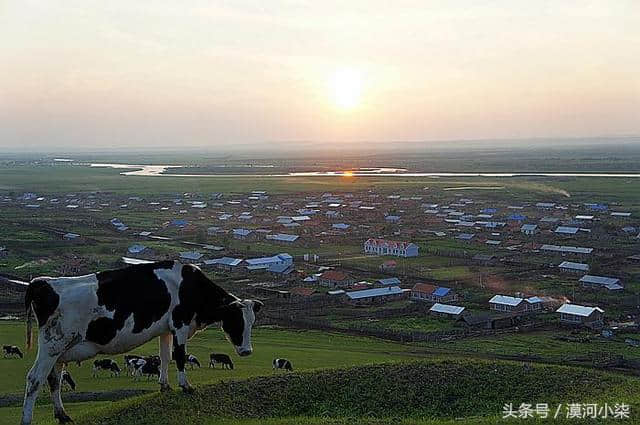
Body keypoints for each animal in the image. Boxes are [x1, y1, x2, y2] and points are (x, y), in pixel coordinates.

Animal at [21, 260, 262, 424]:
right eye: (236, 321)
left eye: (252, 322)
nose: (247, 351)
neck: (190, 286)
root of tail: (41, 282)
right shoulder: (181, 324)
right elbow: (180, 357)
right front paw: (186, 386)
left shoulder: (166, 329)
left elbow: (165, 357)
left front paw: (165, 386)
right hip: (53, 344)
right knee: (35, 379)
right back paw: (27, 419)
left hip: (61, 350)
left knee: (54, 378)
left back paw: (63, 415)